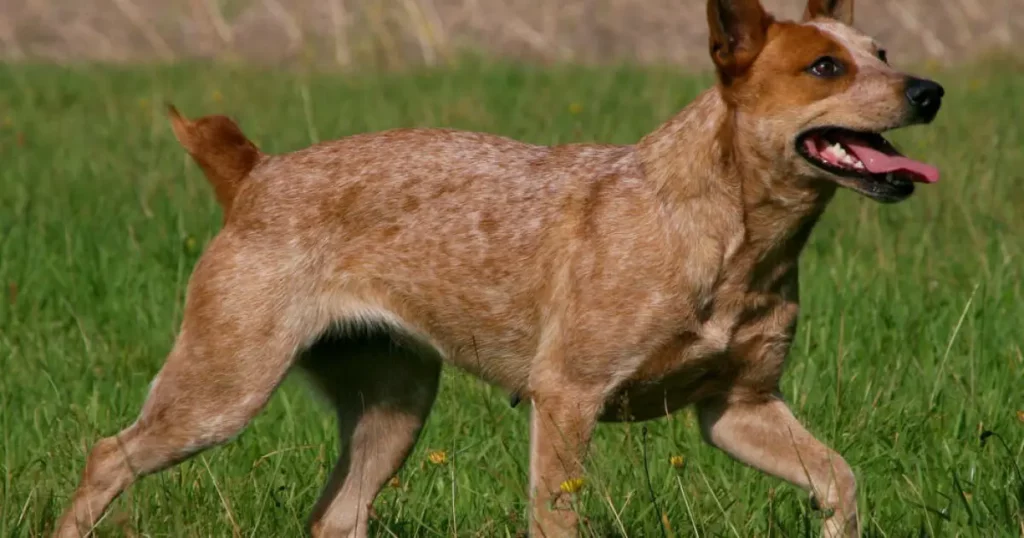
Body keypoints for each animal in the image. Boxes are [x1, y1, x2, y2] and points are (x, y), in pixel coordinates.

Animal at [51, 1, 937, 536]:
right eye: (825, 68)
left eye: (882, 51)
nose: (930, 90)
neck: (737, 239)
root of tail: (254, 174)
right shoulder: (568, 399)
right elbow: (558, 518)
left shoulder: (739, 408)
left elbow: (840, 480)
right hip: (223, 389)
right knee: (107, 455)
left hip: (397, 406)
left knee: (335, 515)